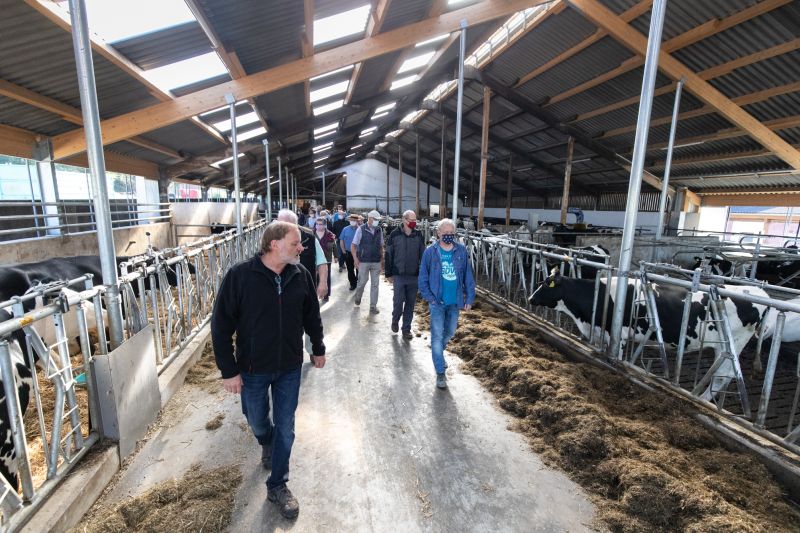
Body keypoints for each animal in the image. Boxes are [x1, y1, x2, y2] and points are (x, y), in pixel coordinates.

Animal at [532, 274, 768, 400]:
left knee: (722, 377)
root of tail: (758, 292)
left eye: (545, 285)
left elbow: (615, 359)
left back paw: (701, 399)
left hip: (732, 344)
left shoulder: (619, 335)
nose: (531, 298)